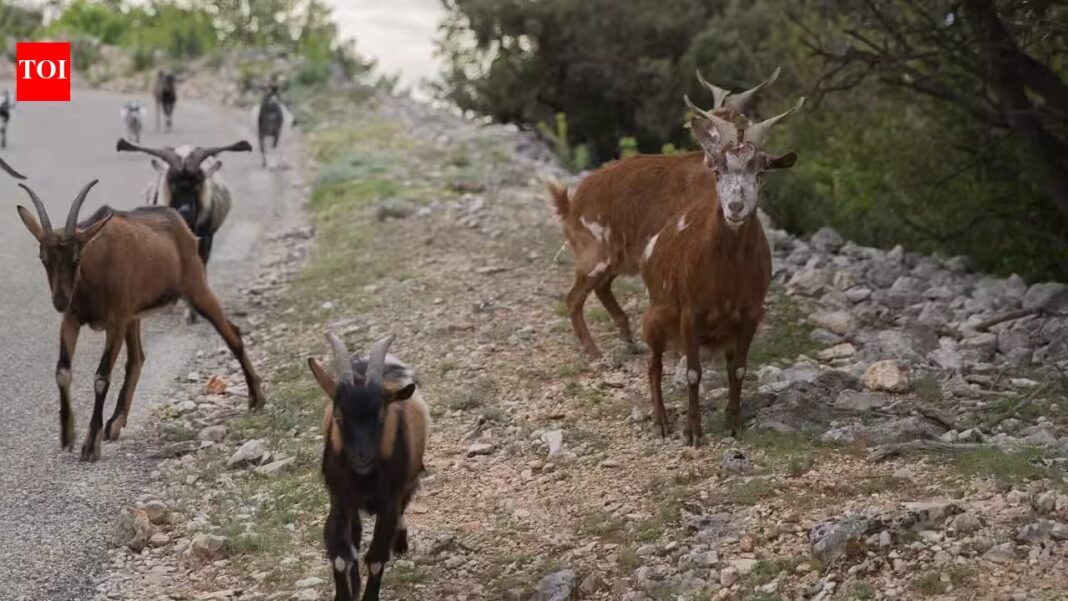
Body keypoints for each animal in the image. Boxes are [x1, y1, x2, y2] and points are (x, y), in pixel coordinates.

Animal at [14, 181, 266, 461]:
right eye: (43, 258)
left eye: (76, 258)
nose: (59, 301)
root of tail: (179, 222)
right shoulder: (72, 319)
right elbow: (62, 372)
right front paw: (68, 435)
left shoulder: (114, 321)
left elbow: (101, 377)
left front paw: (91, 445)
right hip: (133, 315)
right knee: (137, 358)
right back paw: (115, 423)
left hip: (195, 287)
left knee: (232, 334)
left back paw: (256, 397)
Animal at [308, 333, 429, 601]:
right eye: (338, 416)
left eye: (382, 415)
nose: (361, 458)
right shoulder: (340, 499)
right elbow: (341, 553)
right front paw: (347, 594)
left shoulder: (389, 501)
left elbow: (376, 558)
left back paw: (400, 543)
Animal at [549, 68, 780, 358]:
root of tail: (572, 205)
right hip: (596, 253)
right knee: (574, 298)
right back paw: (594, 351)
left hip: (616, 256)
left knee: (601, 287)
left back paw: (627, 336)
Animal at [639, 94, 804, 445]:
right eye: (717, 171)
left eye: (761, 172)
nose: (735, 208)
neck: (725, 276)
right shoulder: (689, 313)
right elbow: (692, 373)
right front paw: (692, 431)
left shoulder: (752, 313)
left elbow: (739, 370)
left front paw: (734, 423)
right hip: (655, 318)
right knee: (653, 365)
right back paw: (661, 421)